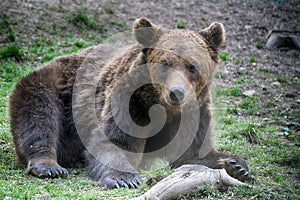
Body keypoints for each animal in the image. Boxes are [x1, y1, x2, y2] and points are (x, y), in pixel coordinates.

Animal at [9, 17, 254, 189]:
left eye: (192, 66)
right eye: (165, 63)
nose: (177, 93)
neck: (161, 108)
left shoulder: (195, 112)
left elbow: (191, 152)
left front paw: (236, 166)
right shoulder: (129, 103)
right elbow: (115, 142)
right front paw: (124, 178)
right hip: (53, 89)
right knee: (39, 119)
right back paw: (49, 166)